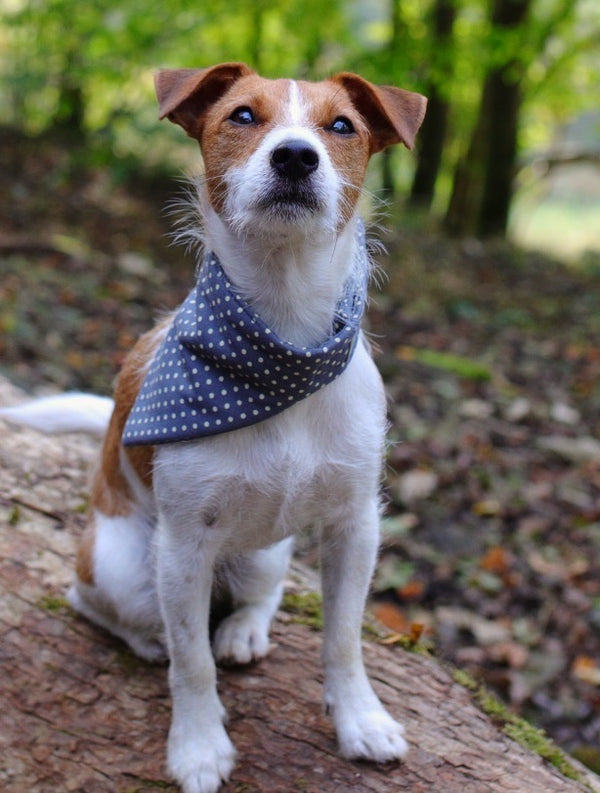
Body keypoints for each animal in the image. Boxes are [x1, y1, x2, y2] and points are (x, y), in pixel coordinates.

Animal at [4, 63, 426, 792]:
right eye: (242, 116)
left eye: (342, 125)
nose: (295, 156)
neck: (281, 344)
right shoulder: (182, 547)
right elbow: (191, 663)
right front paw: (198, 746)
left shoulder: (354, 523)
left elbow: (343, 639)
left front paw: (360, 719)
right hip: (125, 567)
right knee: (100, 603)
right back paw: (150, 638)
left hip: (263, 554)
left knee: (263, 593)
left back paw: (242, 631)